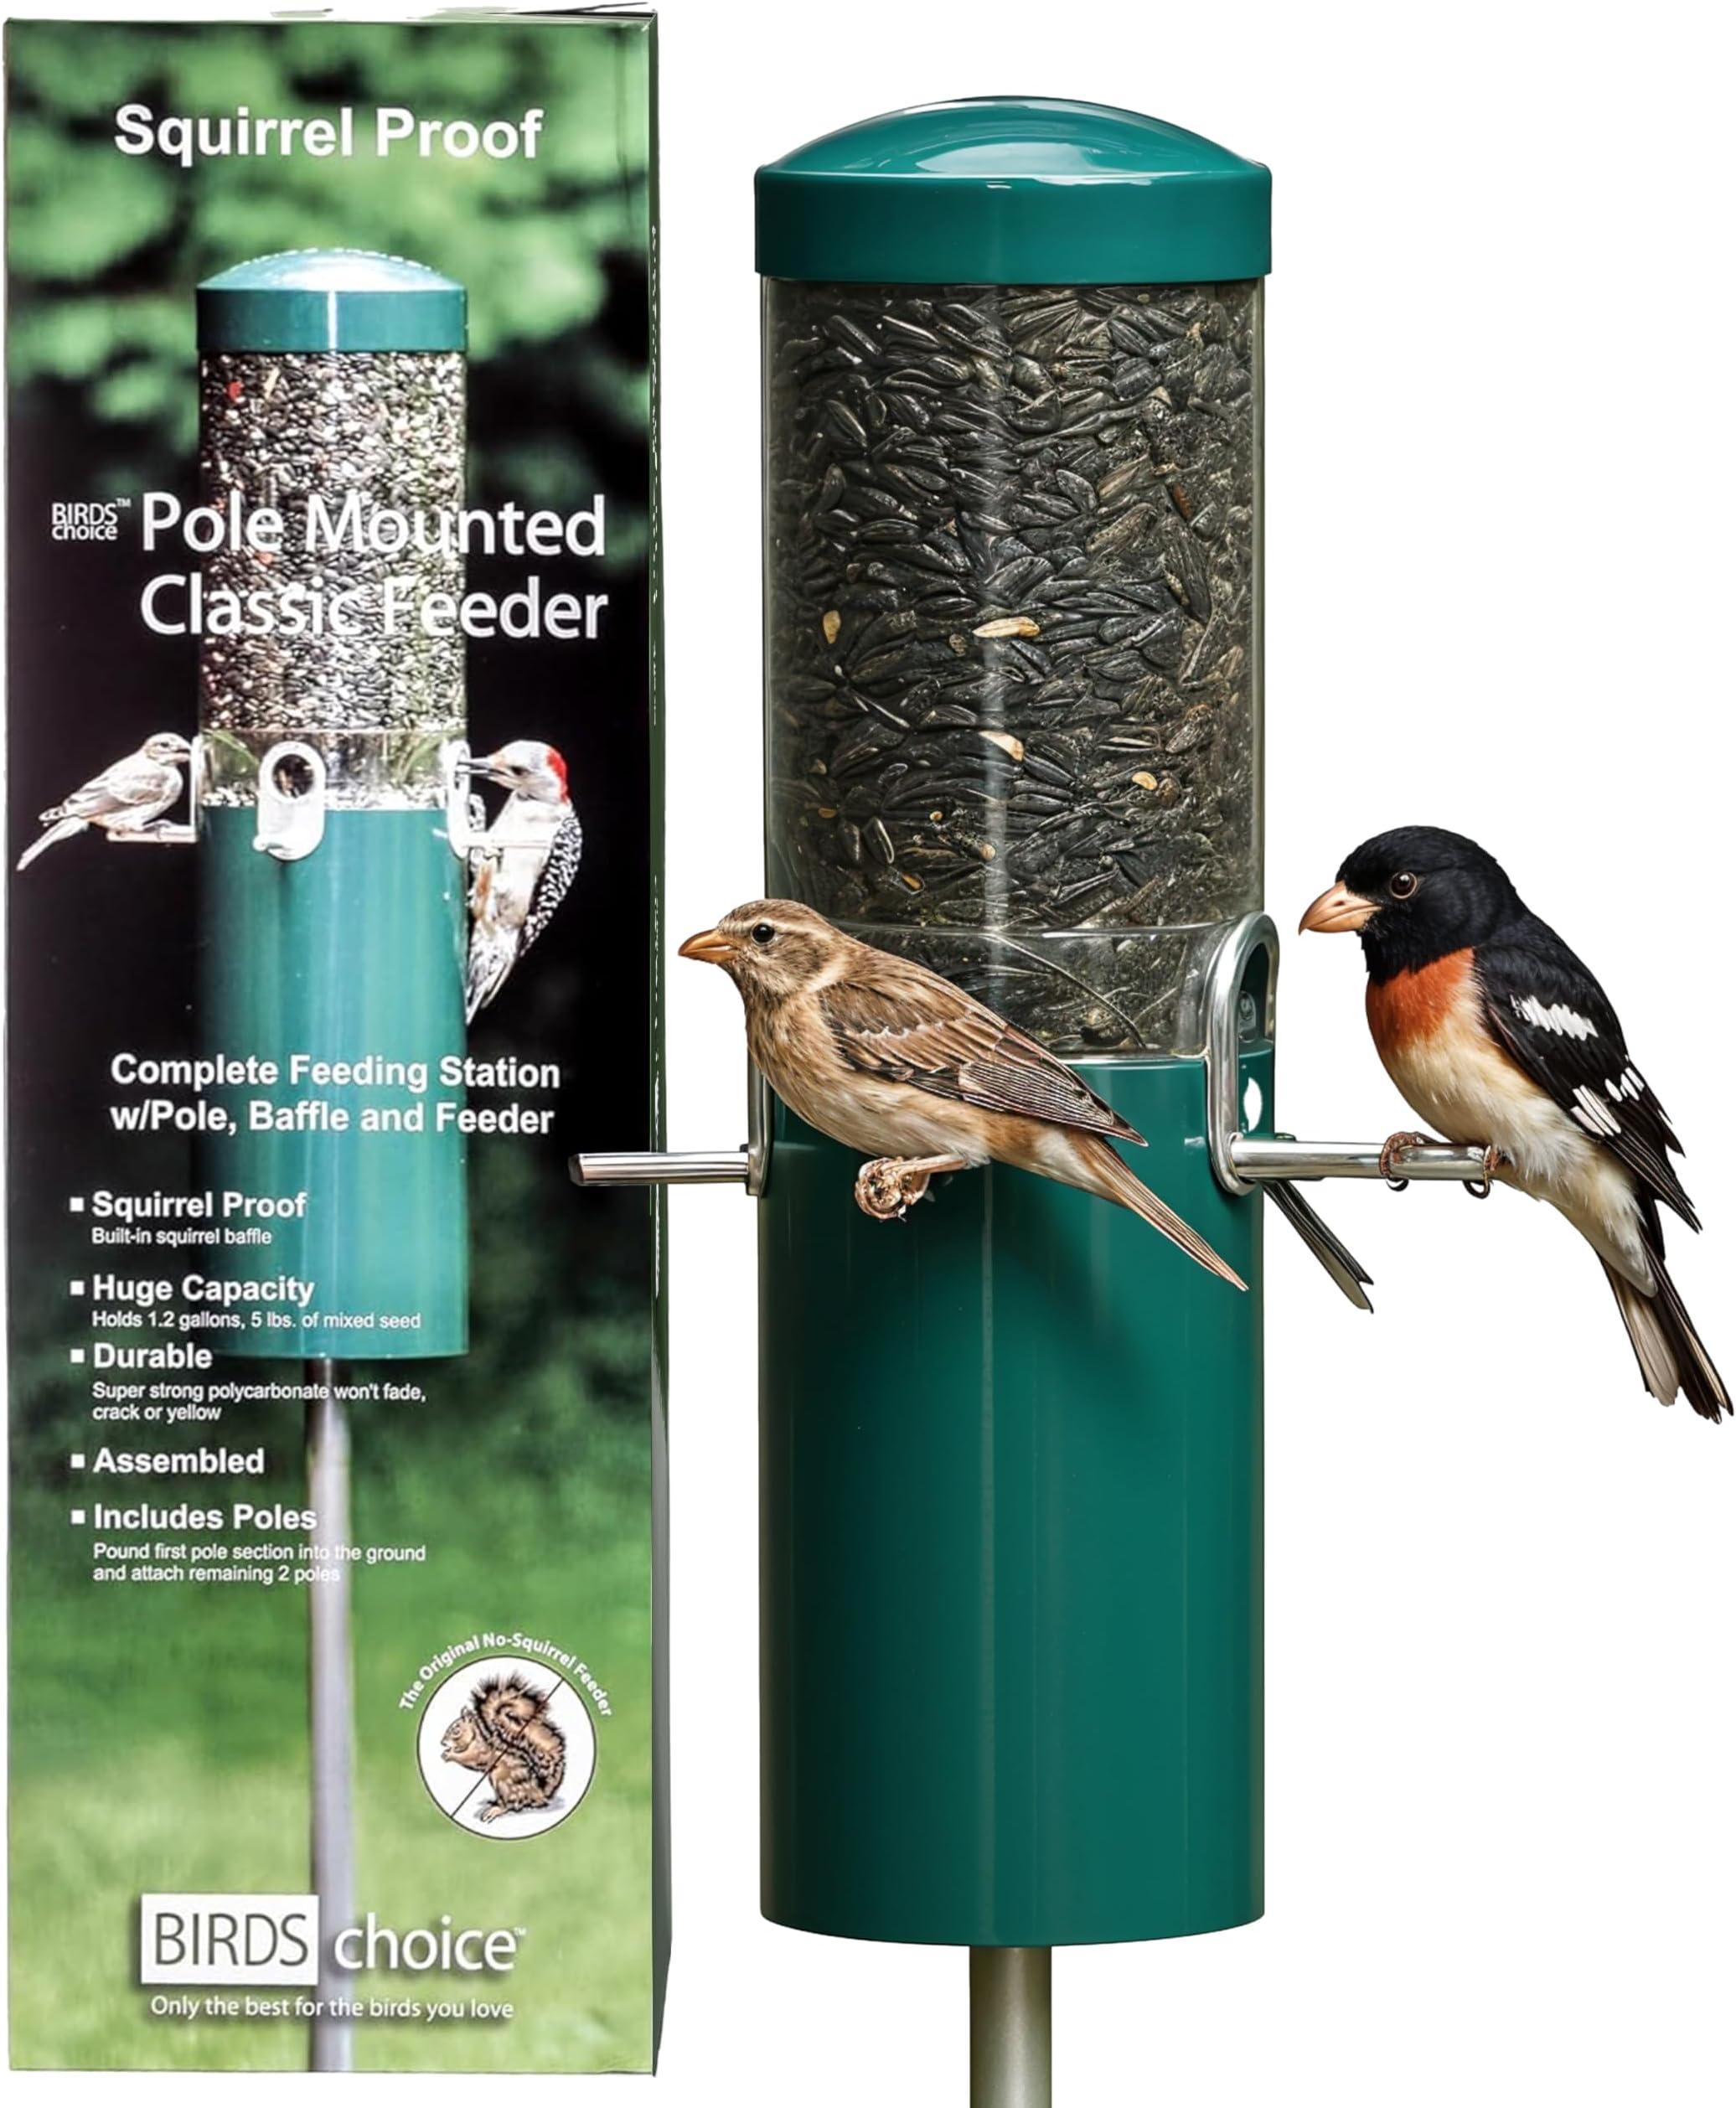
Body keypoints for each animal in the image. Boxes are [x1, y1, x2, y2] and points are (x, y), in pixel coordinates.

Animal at [439, 1670, 566, 1824]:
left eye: (456, 1731)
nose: (442, 1742)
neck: (478, 1736)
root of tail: (540, 1794)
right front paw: (448, 1751)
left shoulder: (481, 1751)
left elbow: (470, 1758)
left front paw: (450, 1754)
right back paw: (494, 1802)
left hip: (503, 1781)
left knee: (513, 1804)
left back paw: (496, 1810)